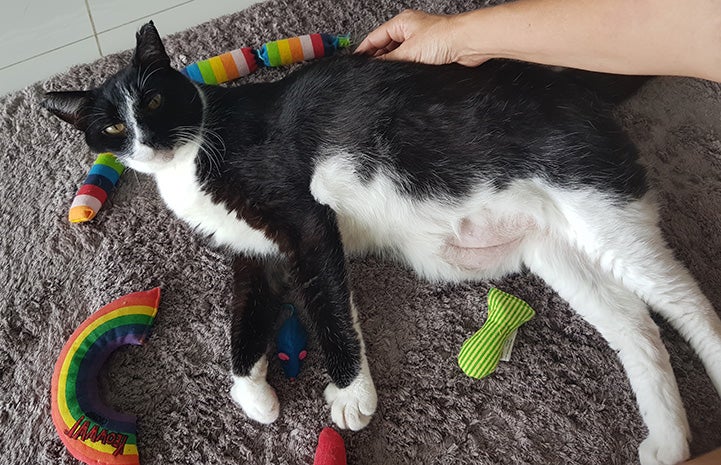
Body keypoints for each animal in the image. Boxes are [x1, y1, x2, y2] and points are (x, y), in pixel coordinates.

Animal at [43, 22, 720, 464]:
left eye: (156, 97)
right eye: (111, 126)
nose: (147, 139)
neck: (196, 151)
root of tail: (566, 84)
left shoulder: (307, 221)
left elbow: (329, 304)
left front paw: (352, 395)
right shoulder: (255, 256)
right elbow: (243, 325)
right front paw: (256, 394)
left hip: (599, 204)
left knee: (683, 302)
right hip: (557, 248)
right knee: (636, 325)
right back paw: (668, 442)